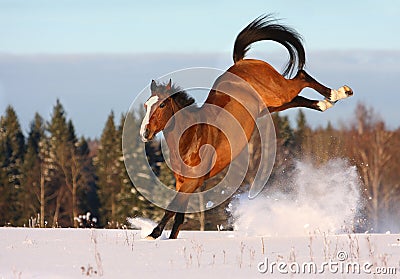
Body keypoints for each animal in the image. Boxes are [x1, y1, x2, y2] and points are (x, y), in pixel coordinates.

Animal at [139, 14, 352, 240]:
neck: (191, 137)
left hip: (279, 93)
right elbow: (178, 215)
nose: (145, 133)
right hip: (273, 105)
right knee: (301, 98)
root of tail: (243, 62)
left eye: (162, 105)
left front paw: (152, 234)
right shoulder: (183, 182)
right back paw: (327, 103)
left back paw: (341, 92)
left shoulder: (192, 182)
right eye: (146, 105)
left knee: (302, 77)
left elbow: (172, 208)